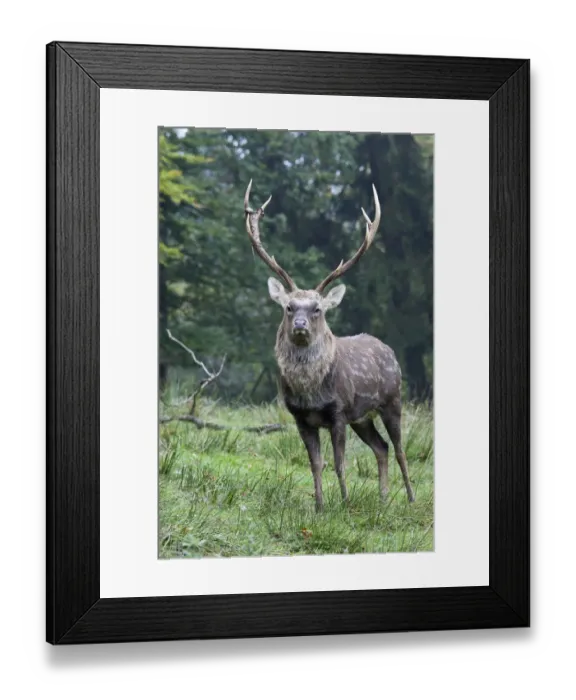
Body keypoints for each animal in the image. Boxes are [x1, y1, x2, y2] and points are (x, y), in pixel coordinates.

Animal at [244, 180, 416, 512]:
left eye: (317, 309)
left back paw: (411, 498)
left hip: (393, 399)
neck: (311, 393)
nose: (300, 325)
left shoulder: (338, 411)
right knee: (382, 447)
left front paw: (345, 504)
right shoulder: (300, 418)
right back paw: (383, 499)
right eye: (288, 307)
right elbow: (316, 463)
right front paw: (320, 506)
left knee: (400, 448)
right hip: (362, 417)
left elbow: (339, 463)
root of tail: (389, 351)